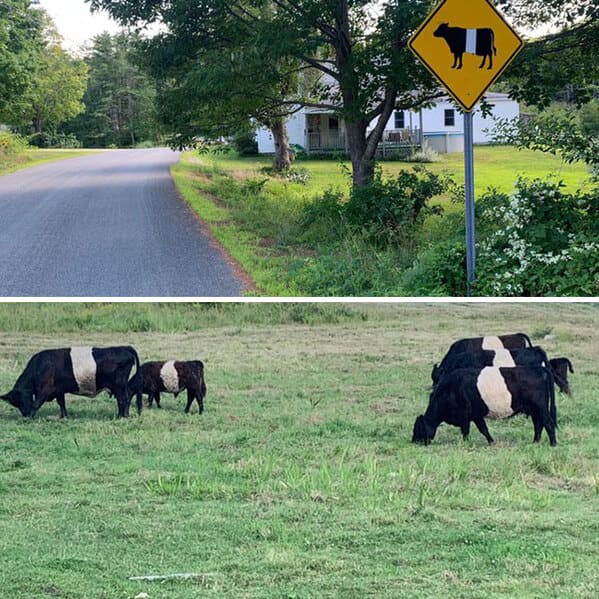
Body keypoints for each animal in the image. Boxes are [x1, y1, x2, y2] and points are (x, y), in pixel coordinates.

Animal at [0, 344, 141, 420]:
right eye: (16, 404)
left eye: (22, 400)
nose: (25, 414)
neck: (40, 366)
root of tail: (124, 347)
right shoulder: (59, 390)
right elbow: (61, 403)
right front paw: (63, 417)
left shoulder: (45, 389)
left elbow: (36, 403)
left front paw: (31, 417)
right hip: (118, 386)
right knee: (123, 399)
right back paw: (121, 415)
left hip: (119, 385)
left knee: (124, 399)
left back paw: (122, 417)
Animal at [412, 366, 556, 446]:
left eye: (417, 428)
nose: (413, 441)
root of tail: (538, 368)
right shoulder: (476, 415)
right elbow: (484, 429)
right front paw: (492, 442)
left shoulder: (465, 415)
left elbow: (466, 431)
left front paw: (465, 443)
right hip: (535, 410)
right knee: (538, 425)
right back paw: (535, 442)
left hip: (540, 407)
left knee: (548, 423)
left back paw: (553, 444)